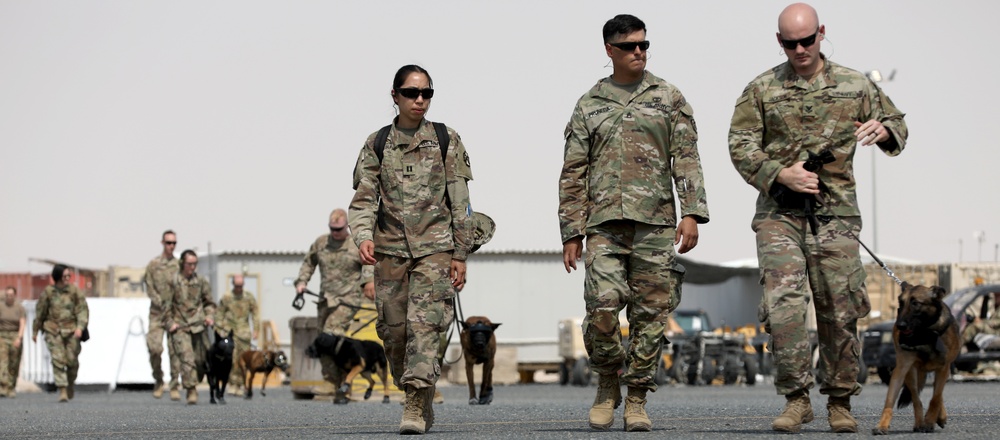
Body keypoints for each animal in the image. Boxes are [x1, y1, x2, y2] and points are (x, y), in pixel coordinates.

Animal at [876, 284, 960, 434]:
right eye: (901, 303)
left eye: (915, 303)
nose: (899, 325)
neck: (924, 333)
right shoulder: (902, 368)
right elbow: (891, 400)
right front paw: (882, 425)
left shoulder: (943, 368)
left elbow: (936, 398)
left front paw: (930, 421)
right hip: (911, 373)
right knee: (916, 397)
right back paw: (920, 422)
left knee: (937, 393)